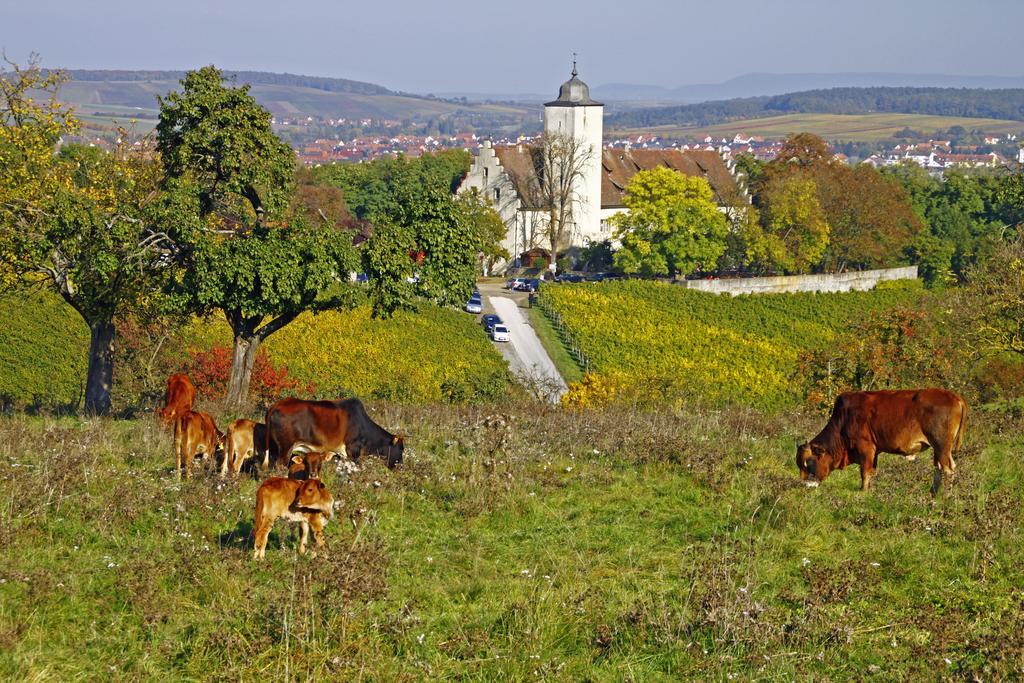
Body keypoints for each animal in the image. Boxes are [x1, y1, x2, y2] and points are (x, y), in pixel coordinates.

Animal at [798, 389, 966, 497]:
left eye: (808, 463)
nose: (804, 485)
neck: (843, 419)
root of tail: (954, 397)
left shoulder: (865, 448)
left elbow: (865, 472)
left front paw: (863, 491)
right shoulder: (875, 451)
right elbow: (872, 471)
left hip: (941, 445)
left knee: (948, 470)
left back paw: (945, 496)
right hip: (938, 448)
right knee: (938, 468)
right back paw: (933, 493)